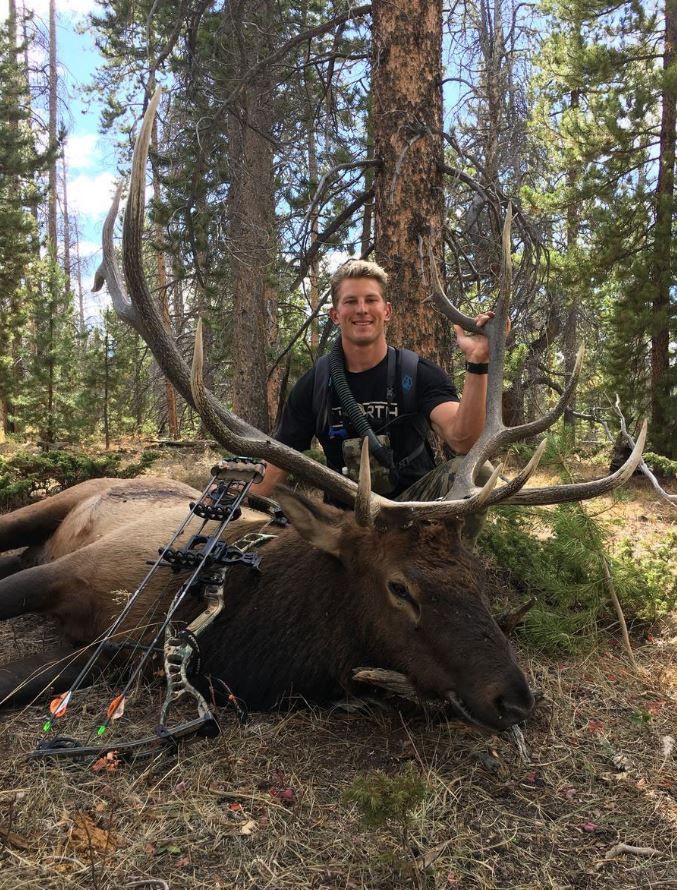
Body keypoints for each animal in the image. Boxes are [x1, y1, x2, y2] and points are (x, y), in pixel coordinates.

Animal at [0, 90, 640, 732]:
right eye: (399, 587)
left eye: (478, 579)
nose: (515, 699)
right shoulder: (89, 569)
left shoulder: (108, 652)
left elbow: (21, 682)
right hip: (65, 500)